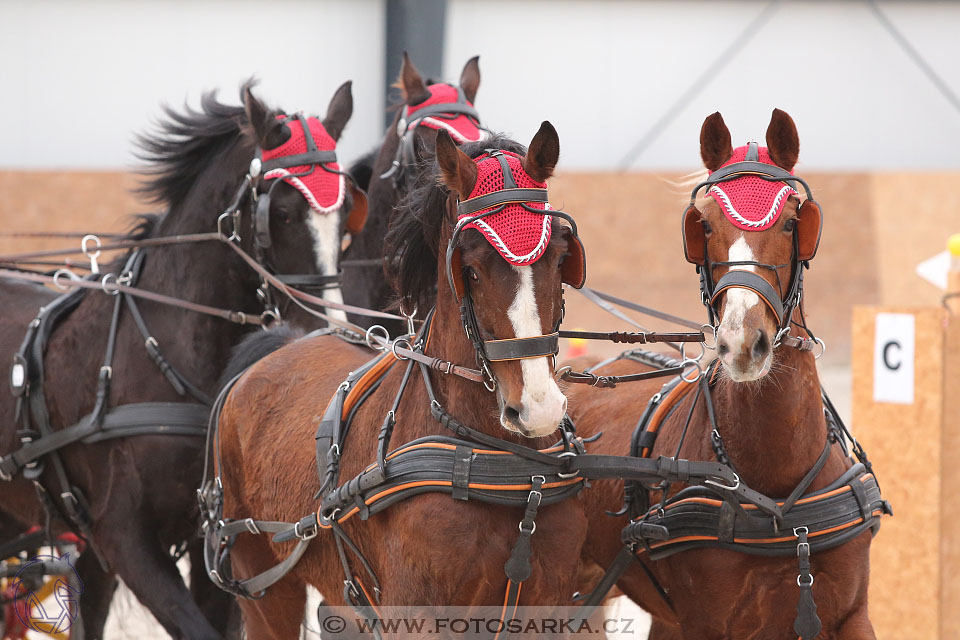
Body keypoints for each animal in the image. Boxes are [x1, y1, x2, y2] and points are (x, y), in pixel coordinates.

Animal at [208, 122, 592, 636]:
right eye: (470, 270)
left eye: (558, 257)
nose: (537, 407)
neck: (498, 462)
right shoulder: (417, 614)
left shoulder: (549, 605)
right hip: (263, 579)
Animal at [568, 109, 888, 636]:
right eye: (703, 225)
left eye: (792, 222)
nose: (741, 342)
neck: (780, 499)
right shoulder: (705, 624)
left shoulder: (852, 615)